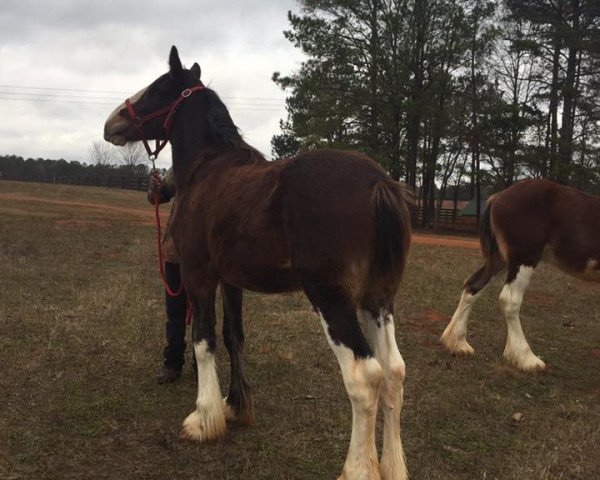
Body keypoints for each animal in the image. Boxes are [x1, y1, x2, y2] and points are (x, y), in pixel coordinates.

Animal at [104, 46, 412, 480]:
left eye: (159, 87)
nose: (113, 121)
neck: (207, 169)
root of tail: (377, 181)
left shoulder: (199, 276)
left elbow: (203, 340)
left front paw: (204, 418)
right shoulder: (231, 280)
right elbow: (234, 337)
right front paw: (236, 406)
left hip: (333, 301)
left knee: (365, 376)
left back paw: (359, 468)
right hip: (378, 299)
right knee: (394, 372)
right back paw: (393, 465)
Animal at [440, 180, 600, 372]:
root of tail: (498, 197)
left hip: (499, 259)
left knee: (473, 286)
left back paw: (457, 343)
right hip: (524, 259)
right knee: (510, 300)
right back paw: (526, 358)